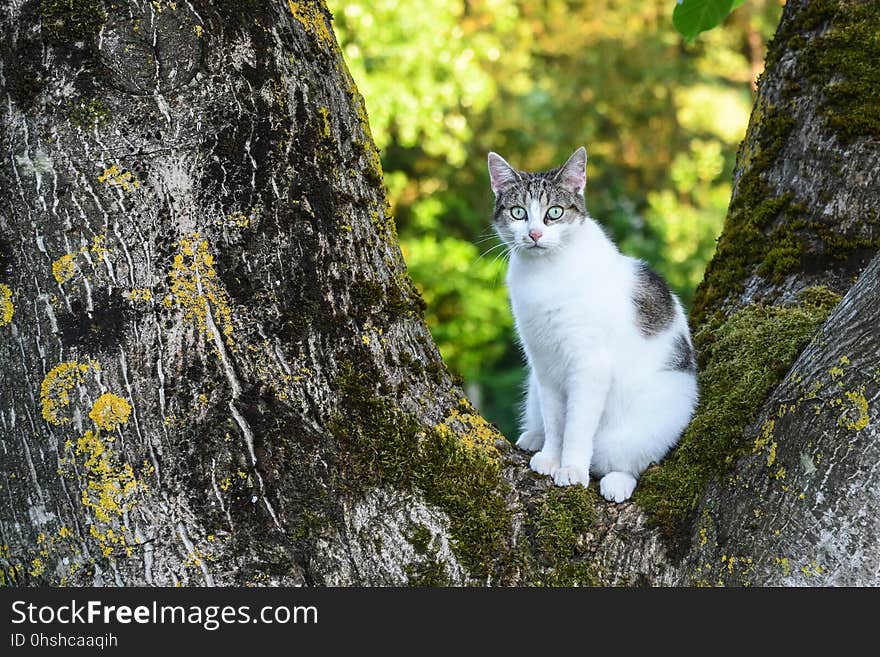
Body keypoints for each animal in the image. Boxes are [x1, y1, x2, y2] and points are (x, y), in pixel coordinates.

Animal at [484, 146, 696, 500]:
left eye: (554, 213)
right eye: (518, 212)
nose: (534, 234)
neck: (545, 273)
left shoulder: (589, 365)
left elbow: (577, 426)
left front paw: (570, 468)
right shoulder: (544, 363)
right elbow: (556, 420)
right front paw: (551, 457)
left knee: (633, 461)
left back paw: (617, 481)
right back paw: (533, 437)